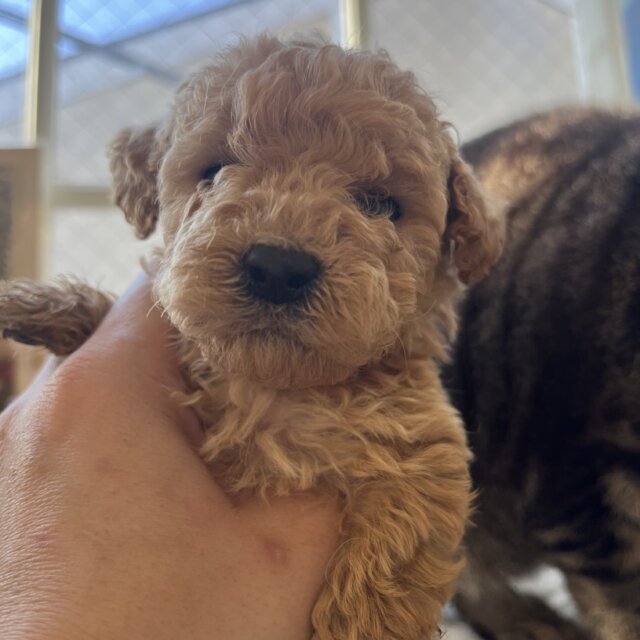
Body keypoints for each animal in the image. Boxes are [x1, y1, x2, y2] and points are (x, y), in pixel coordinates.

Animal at [0, 36, 503, 639]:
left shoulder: (422, 440)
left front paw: (361, 623)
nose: (278, 268)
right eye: (214, 169)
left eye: (382, 204)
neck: (271, 389)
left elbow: (397, 544)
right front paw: (35, 304)